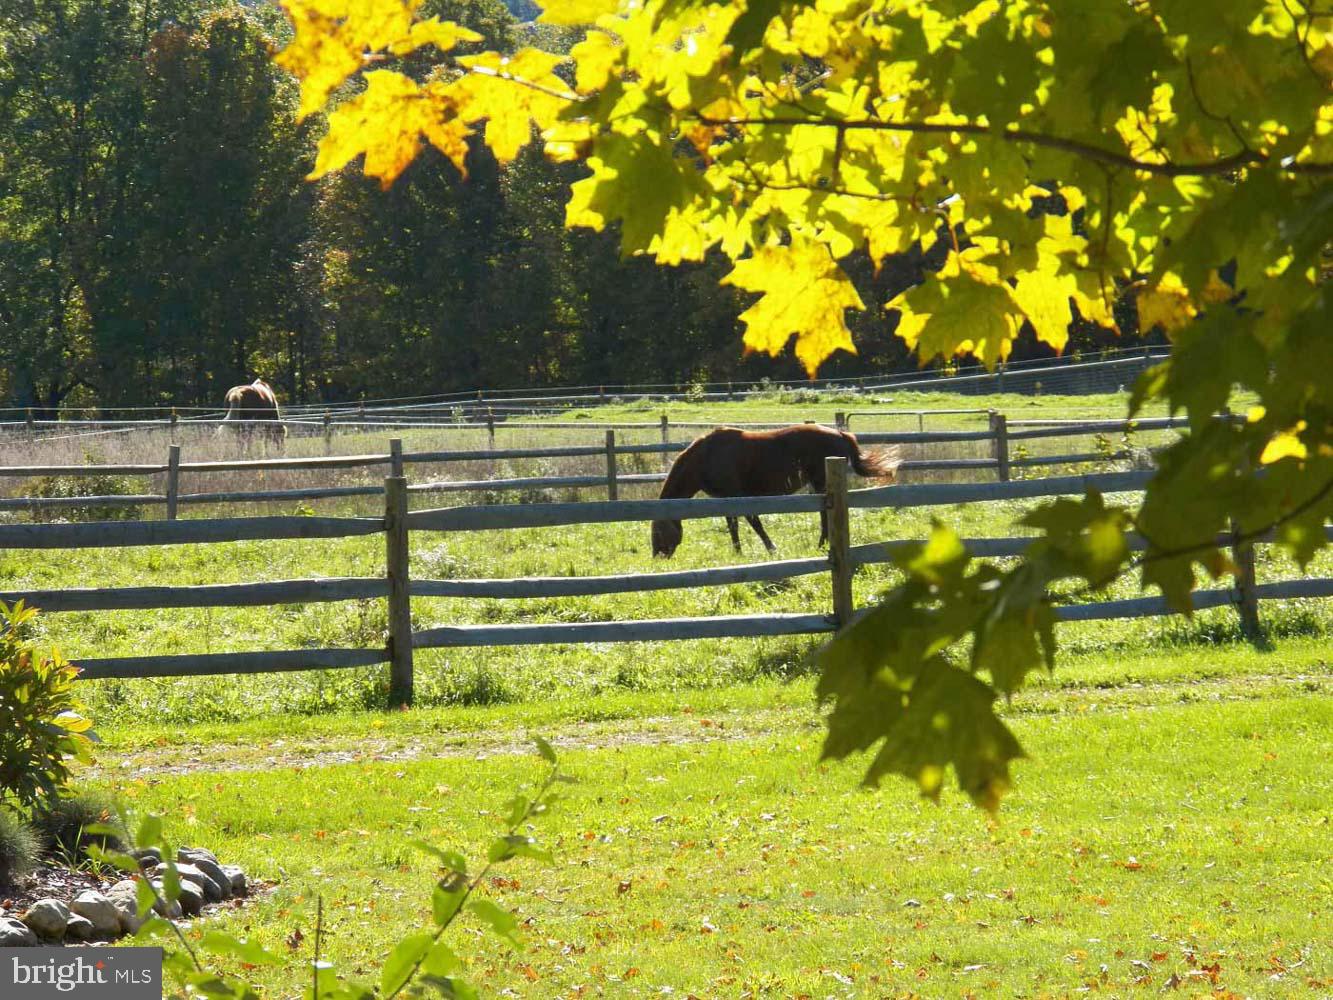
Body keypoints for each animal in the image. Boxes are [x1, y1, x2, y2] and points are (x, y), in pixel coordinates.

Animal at [650, 424, 900, 558]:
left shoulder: (737, 495)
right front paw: (738, 552)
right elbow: (733, 525)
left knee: (824, 515)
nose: (658, 556)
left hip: (821, 483)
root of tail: (841, 434)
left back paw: (822, 545)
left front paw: (771, 549)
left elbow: (753, 522)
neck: (706, 456)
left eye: (658, 531)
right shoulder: (724, 499)